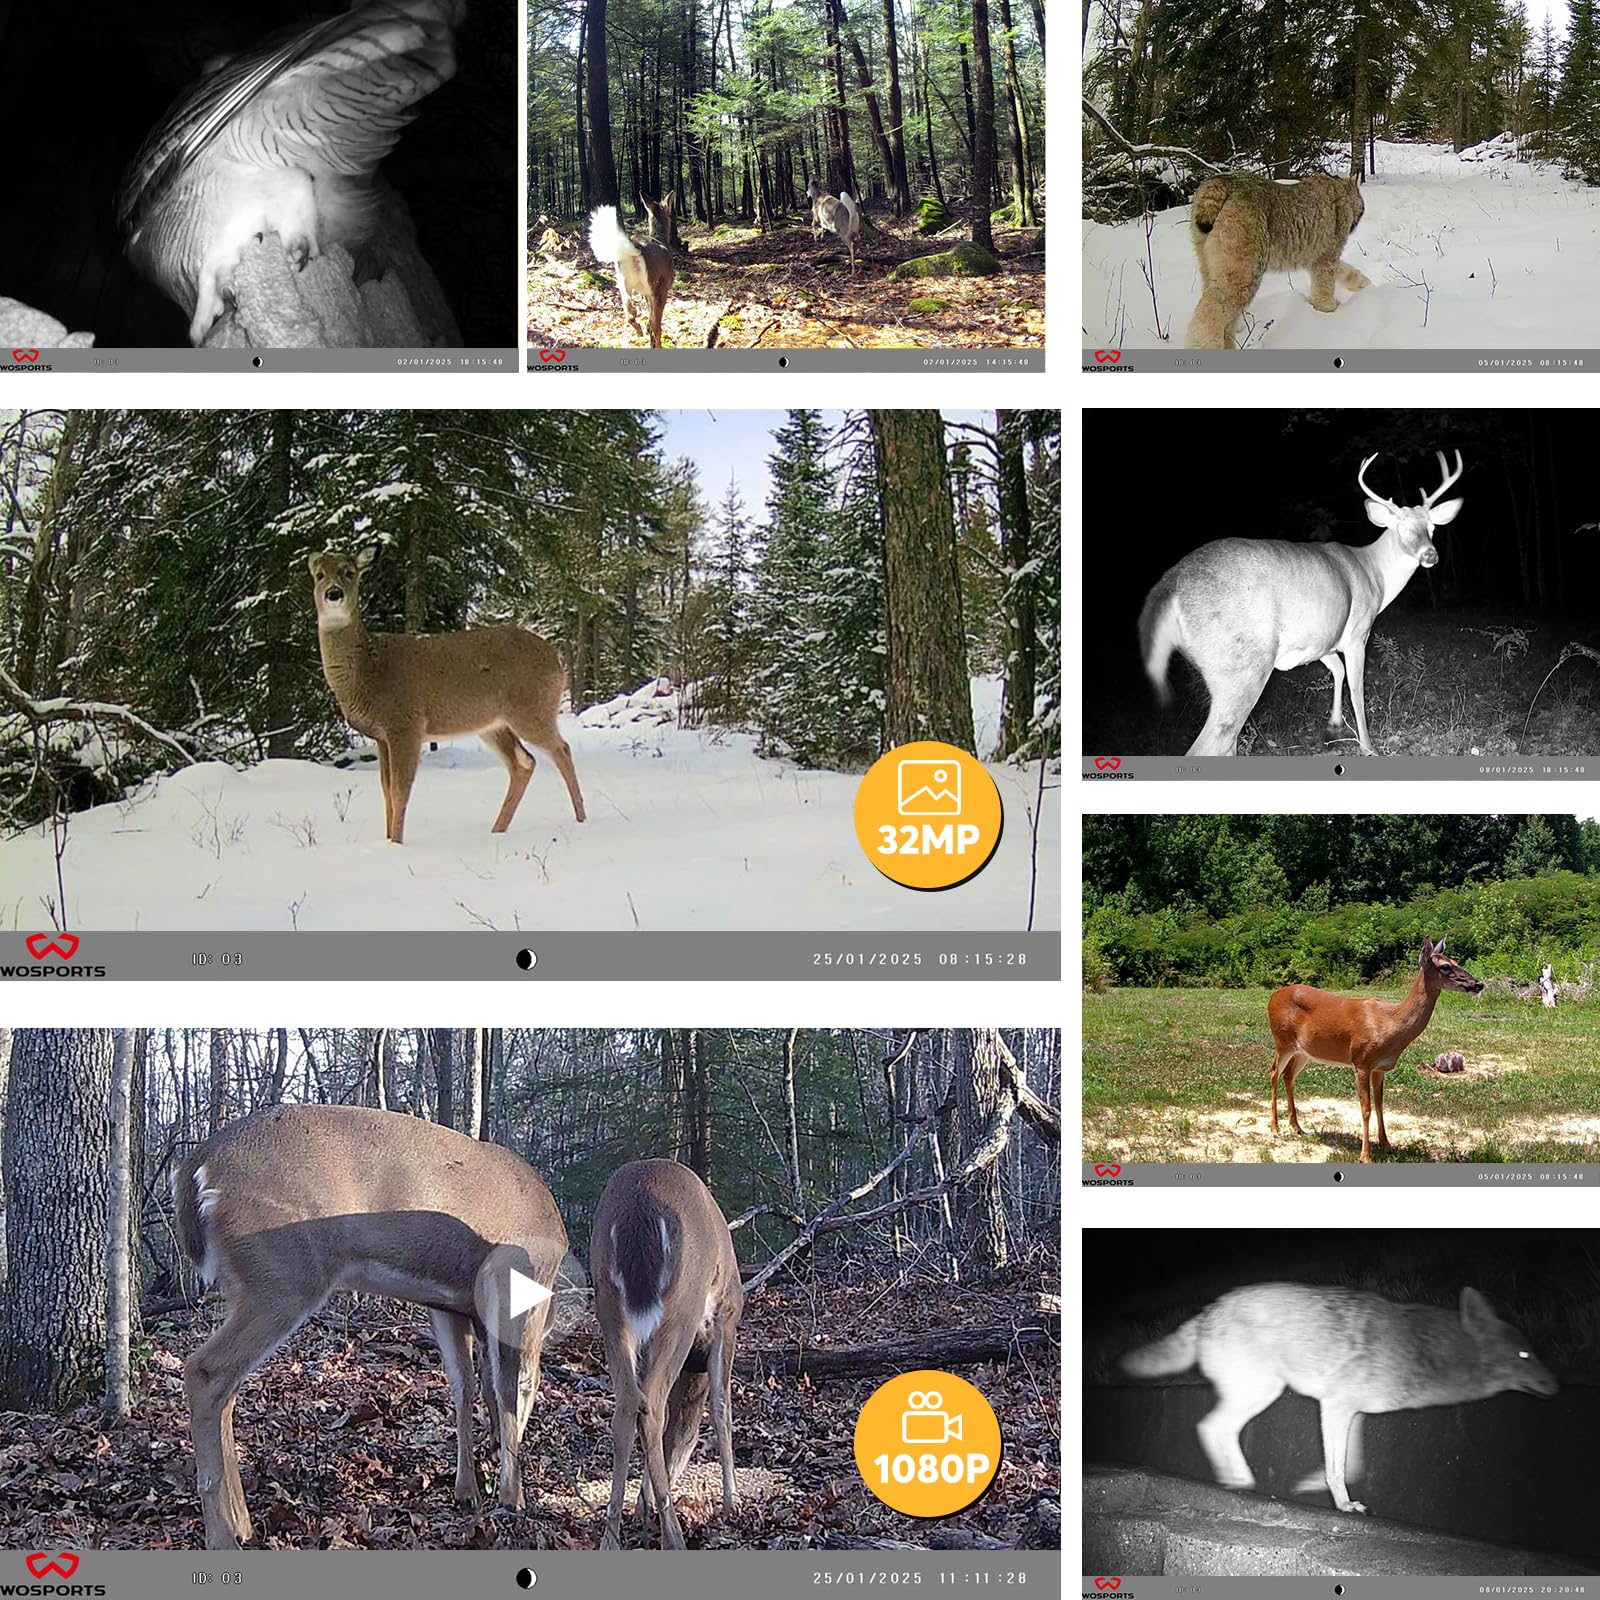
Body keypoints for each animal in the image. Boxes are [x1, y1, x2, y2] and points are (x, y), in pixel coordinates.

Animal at [173, 1103, 570, 1549]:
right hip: (284, 1273)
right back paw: (223, 1534)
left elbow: (467, 1384)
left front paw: (468, 1489)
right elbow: (509, 1385)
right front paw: (511, 1497)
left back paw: (242, 1522)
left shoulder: (450, 1304)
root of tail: (196, 1165)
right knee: (206, 1371)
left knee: (228, 1386)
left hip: (251, 1281)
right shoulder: (512, 1286)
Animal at [308, 547, 586, 844]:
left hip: (532, 709)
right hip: (494, 725)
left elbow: (400, 790)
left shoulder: (406, 724)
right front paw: (387, 841)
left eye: (349, 572)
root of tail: (557, 662)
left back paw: (581, 819)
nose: (334, 593)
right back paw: (497, 829)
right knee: (524, 762)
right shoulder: (382, 736)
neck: (369, 670)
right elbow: (386, 790)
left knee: (561, 750)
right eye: (319, 574)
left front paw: (396, 843)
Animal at [590, 1159, 743, 1549]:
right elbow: (722, 1408)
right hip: (682, 1307)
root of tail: (639, 1213)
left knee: (631, 1402)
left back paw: (612, 1537)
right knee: (653, 1406)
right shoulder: (726, 1316)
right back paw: (673, 1535)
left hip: (608, 1305)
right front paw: (732, 1503)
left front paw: (642, 1507)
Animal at [1139, 449, 1465, 756]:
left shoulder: (1322, 641)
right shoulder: (1358, 632)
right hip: (1241, 666)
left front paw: (1333, 727)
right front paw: (1367, 746)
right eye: (1402, 528)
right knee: (1213, 743)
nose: (1430, 554)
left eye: (1432, 528)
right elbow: (1357, 688)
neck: (1375, 575)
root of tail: (1168, 586)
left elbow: (1337, 671)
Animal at [1269, 937, 1484, 1163]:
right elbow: (1366, 1108)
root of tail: (1273, 996)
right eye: (1445, 966)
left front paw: (1386, 1144)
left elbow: (1380, 1104)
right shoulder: (1361, 1061)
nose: (1479, 984)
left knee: (1288, 1075)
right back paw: (1275, 1129)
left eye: (1456, 961)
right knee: (1274, 1072)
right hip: (1282, 1041)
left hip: (1303, 1051)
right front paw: (1366, 1155)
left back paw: (1297, 1126)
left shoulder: (1380, 1068)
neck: (1390, 1023)